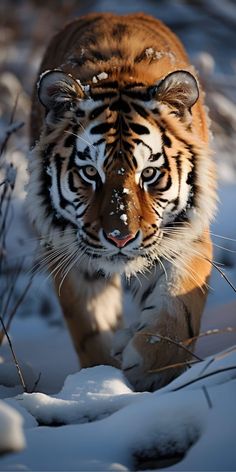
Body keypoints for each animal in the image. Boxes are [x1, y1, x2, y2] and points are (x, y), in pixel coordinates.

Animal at [26, 12, 217, 392]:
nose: (120, 238)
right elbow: (90, 329)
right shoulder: (72, 258)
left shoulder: (187, 237)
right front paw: (99, 383)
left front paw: (148, 368)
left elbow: (180, 309)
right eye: (89, 172)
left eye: (149, 173)